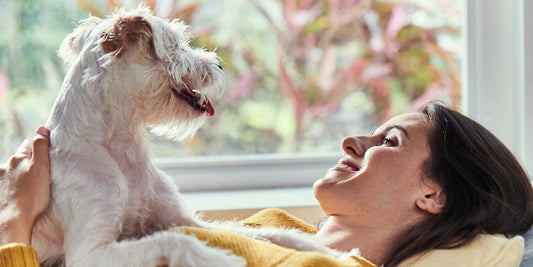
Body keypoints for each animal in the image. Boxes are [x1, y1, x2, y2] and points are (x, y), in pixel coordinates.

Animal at [32, 4, 358, 267]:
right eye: (176, 45)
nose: (219, 65)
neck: (121, 151)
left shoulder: (182, 219)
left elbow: (267, 233)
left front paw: (333, 253)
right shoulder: (91, 252)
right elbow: (177, 240)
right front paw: (221, 259)